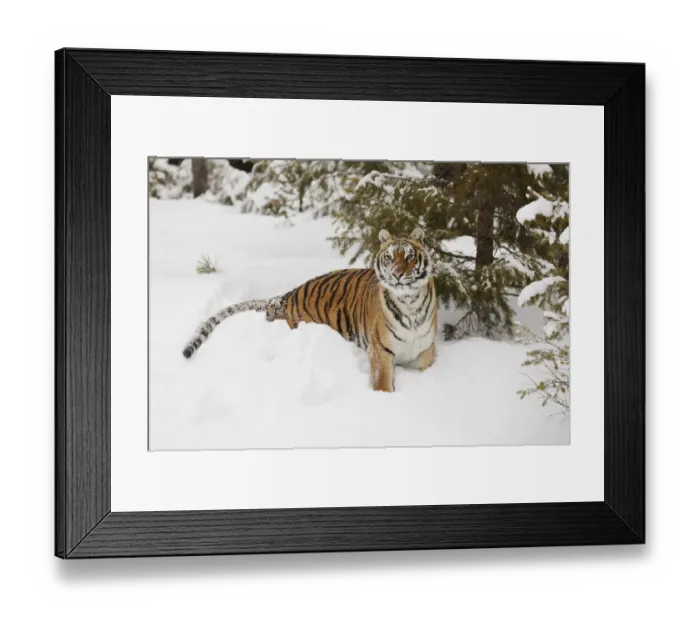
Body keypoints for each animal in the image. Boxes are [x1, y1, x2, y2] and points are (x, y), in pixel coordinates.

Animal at [182, 227, 437, 392]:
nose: (397, 274)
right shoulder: (380, 351)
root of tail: (287, 296)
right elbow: (382, 383)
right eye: (389, 257)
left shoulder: (426, 350)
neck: (410, 302)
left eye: (409, 256)